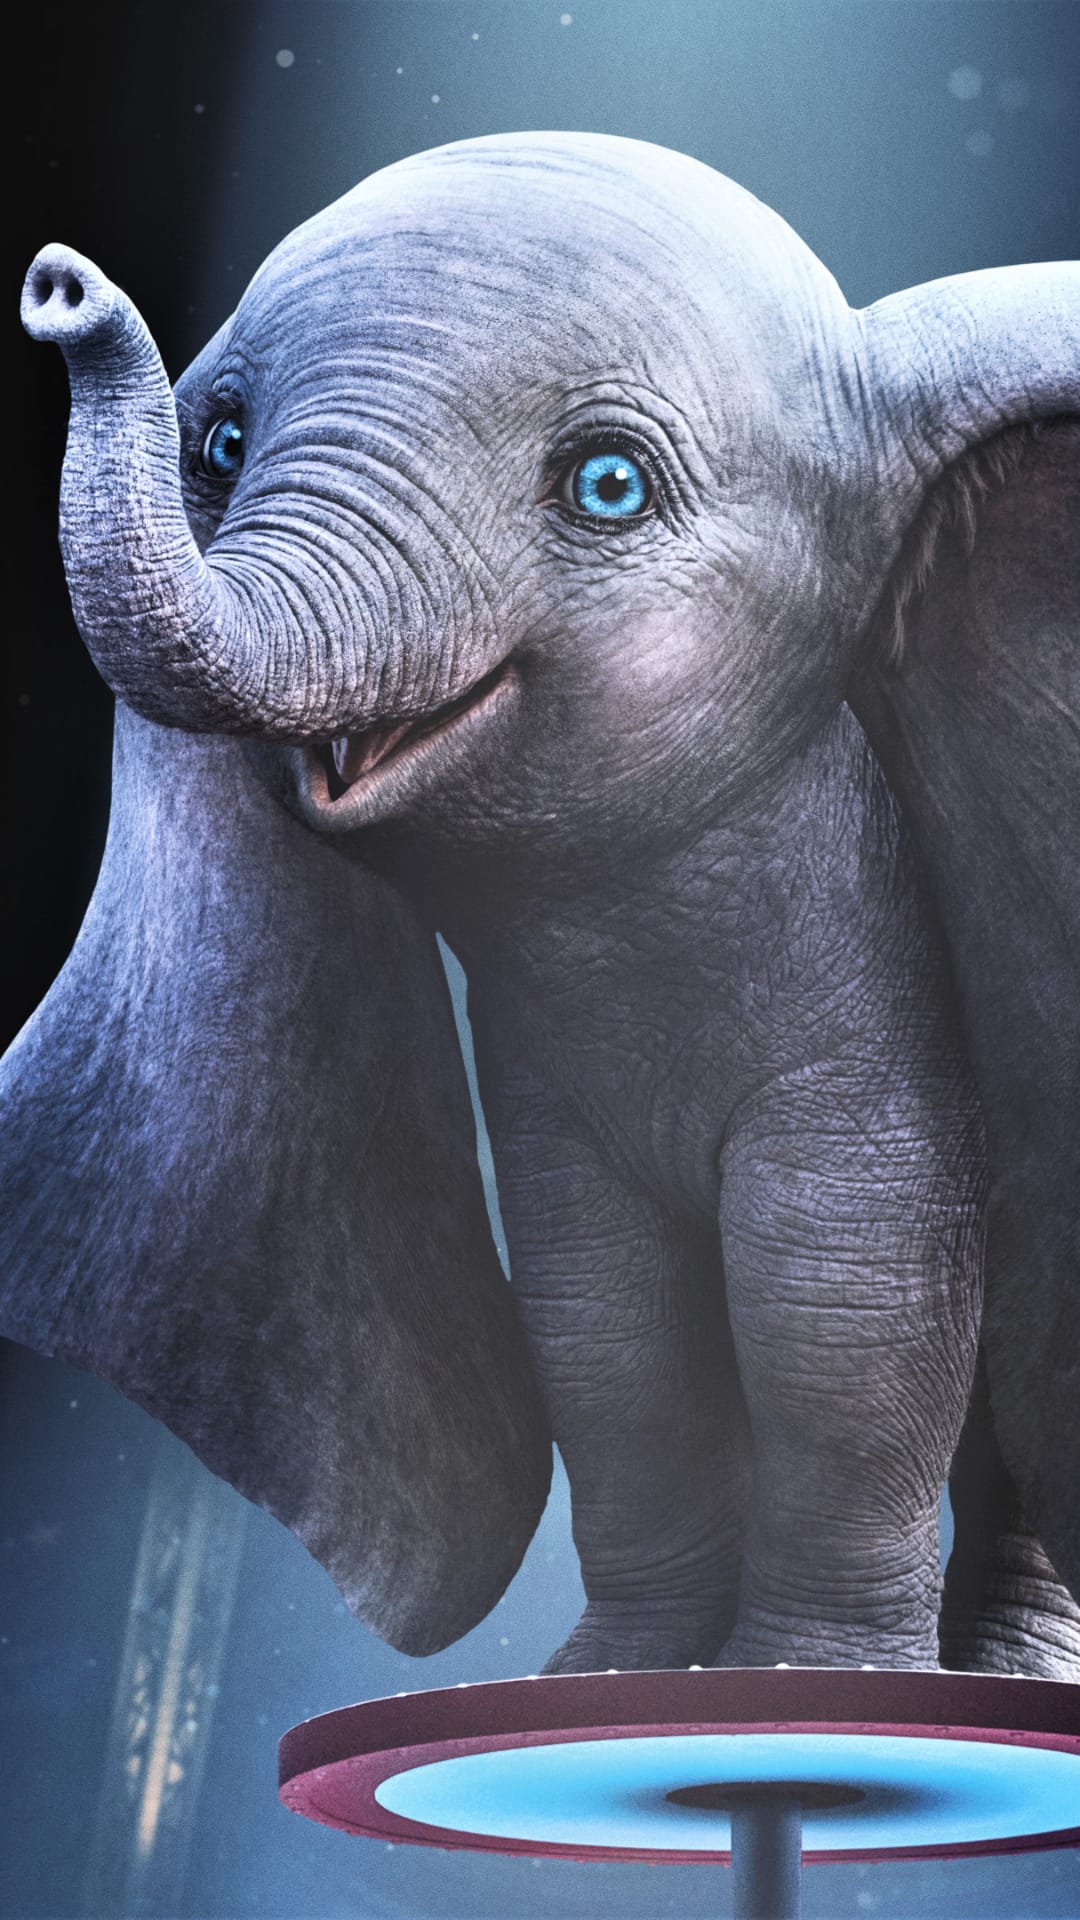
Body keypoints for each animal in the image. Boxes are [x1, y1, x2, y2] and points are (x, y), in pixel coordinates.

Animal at [5, 132, 1079, 1677]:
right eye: (219, 449)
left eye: (610, 487)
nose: (58, 286)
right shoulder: (554, 1094)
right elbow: (599, 1323)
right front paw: (613, 1678)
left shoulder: (881, 1027)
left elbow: (837, 1303)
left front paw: (794, 1687)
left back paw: (996, 1681)